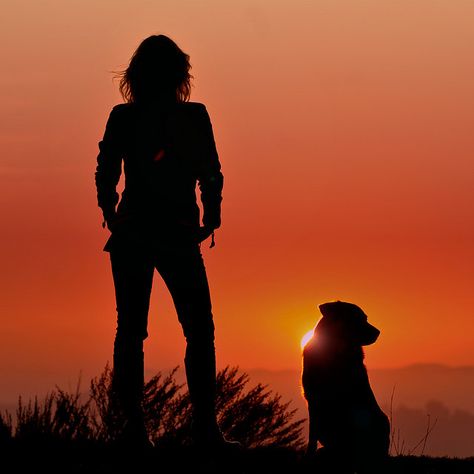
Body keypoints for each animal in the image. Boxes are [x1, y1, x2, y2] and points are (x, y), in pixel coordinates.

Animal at [304, 302, 388, 472]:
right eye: (358, 318)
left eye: (365, 318)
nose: (378, 332)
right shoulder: (313, 400)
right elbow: (312, 436)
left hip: (383, 421)